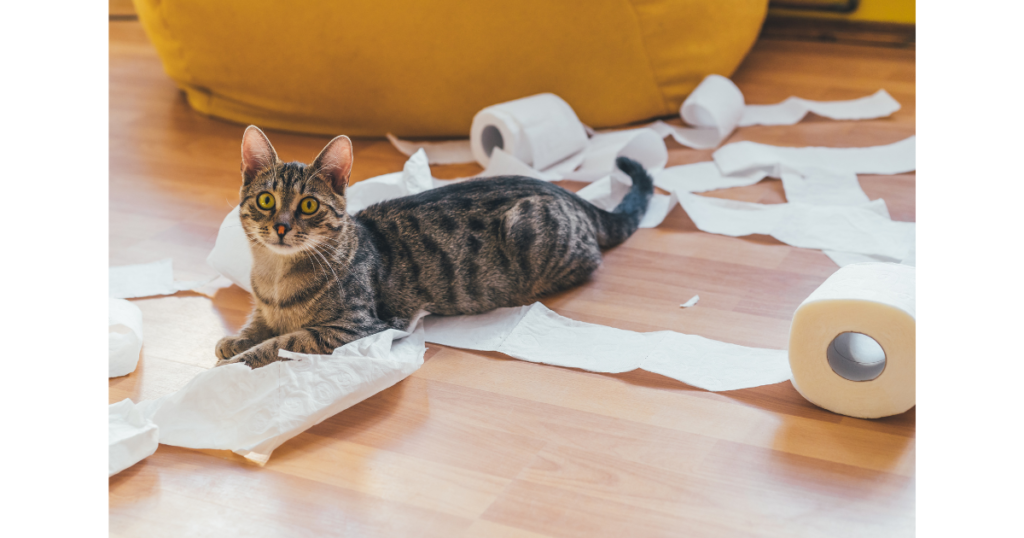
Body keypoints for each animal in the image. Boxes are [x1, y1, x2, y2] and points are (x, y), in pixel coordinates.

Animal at [216, 127, 651, 368]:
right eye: (266, 200)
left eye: (308, 205)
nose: (281, 227)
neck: (275, 276)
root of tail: (567, 193)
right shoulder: (265, 309)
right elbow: (257, 325)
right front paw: (234, 341)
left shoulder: (355, 326)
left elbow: (285, 341)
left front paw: (240, 359)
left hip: (531, 232)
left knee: (591, 260)